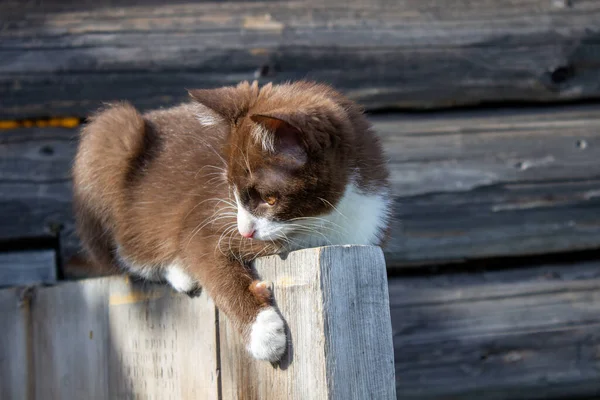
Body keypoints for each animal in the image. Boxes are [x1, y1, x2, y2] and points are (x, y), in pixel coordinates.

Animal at [72, 79, 392, 360]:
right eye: (231, 190)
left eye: (269, 199)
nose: (245, 231)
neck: (323, 223)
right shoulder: (206, 215)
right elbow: (204, 253)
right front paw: (263, 334)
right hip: (111, 138)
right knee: (120, 253)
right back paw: (178, 270)